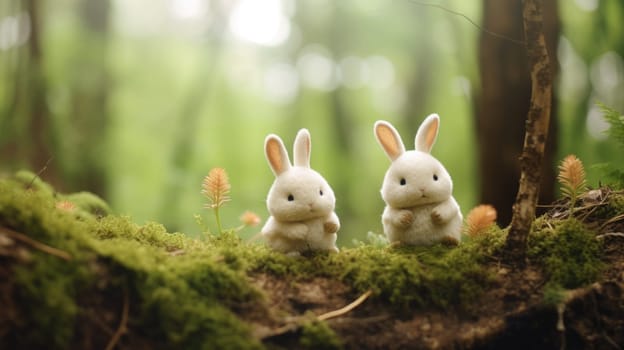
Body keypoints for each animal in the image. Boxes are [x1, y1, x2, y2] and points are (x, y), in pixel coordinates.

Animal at [370, 115, 464, 246]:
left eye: (435, 177)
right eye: (402, 182)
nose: (422, 189)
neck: (420, 205)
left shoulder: (451, 203)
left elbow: (449, 208)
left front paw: (436, 214)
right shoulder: (388, 212)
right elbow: (392, 216)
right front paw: (406, 217)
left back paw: (450, 240)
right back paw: (397, 244)